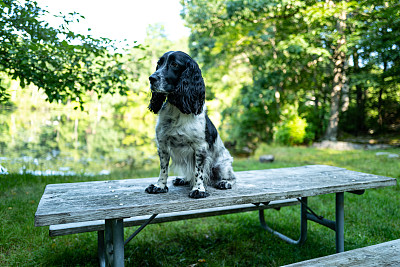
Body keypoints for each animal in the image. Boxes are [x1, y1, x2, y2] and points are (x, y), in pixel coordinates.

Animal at [145, 51, 236, 199]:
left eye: (174, 64)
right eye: (159, 63)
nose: (151, 78)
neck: (177, 108)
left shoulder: (200, 147)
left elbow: (199, 171)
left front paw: (198, 189)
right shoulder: (162, 144)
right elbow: (163, 169)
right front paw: (159, 186)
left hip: (222, 165)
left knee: (232, 177)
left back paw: (224, 182)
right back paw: (182, 179)